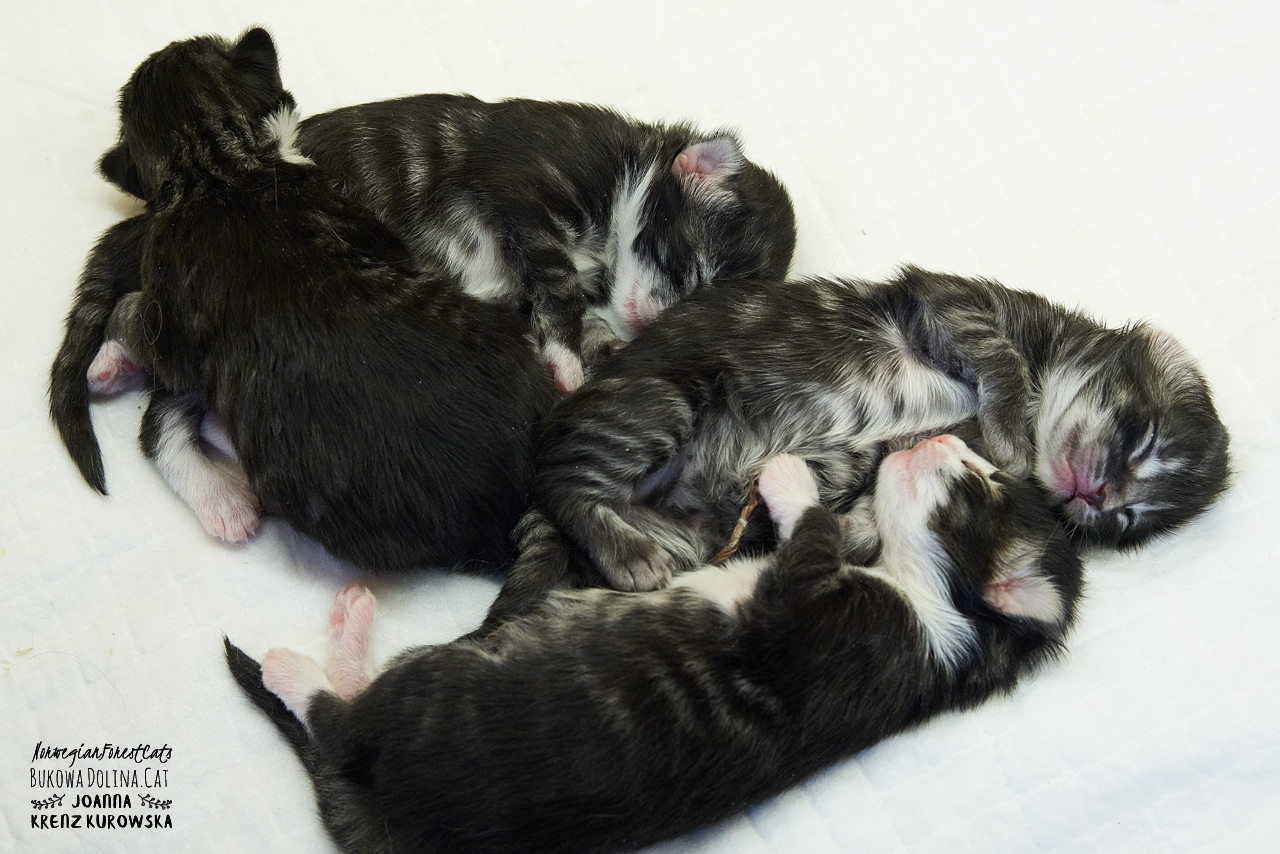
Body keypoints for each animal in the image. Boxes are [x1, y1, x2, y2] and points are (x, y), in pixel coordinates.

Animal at [50, 74, 796, 497]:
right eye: (689, 270)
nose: (651, 323)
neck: (625, 174)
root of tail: (152, 215)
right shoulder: (528, 189)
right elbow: (556, 282)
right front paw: (562, 358)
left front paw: (594, 346)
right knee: (149, 381)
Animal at [224, 435, 1084, 854]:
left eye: (976, 484)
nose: (943, 436)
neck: (937, 615)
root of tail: (384, 806)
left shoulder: (819, 620)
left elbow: (813, 534)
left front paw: (791, 479)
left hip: (425, 695)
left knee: (340, 718)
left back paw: (309, 656)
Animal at [531, 266, 1229, 595]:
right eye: (1141, 439)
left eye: (1128, 522)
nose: (1096, 498)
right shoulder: (952, 300)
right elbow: (995, 351)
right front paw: (1011, 430)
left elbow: (869, 518)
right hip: (660, 401)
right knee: (560, 479)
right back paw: (627, 553)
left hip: (692, 531)